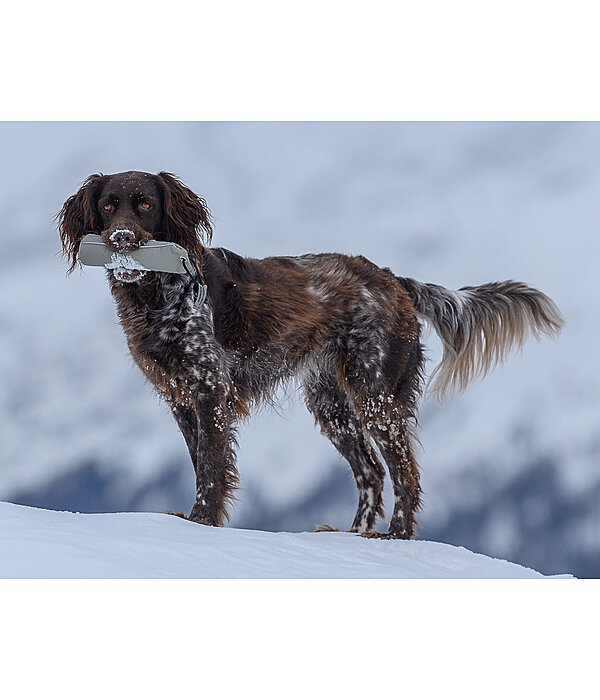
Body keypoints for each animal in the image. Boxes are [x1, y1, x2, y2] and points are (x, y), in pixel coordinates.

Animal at [58, 171, 564, 540]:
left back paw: (395, 535)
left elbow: (212, 466)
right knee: (371, 472)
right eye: (108, 205)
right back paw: (351, 535)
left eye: (146, 203)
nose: (122, 238)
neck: (156, 297)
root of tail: (392, 279)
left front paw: (200, 521)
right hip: (331, 405)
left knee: (404, 470)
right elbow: (200, 460)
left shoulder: (210, 390)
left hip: (375, 393)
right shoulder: (180, 397)